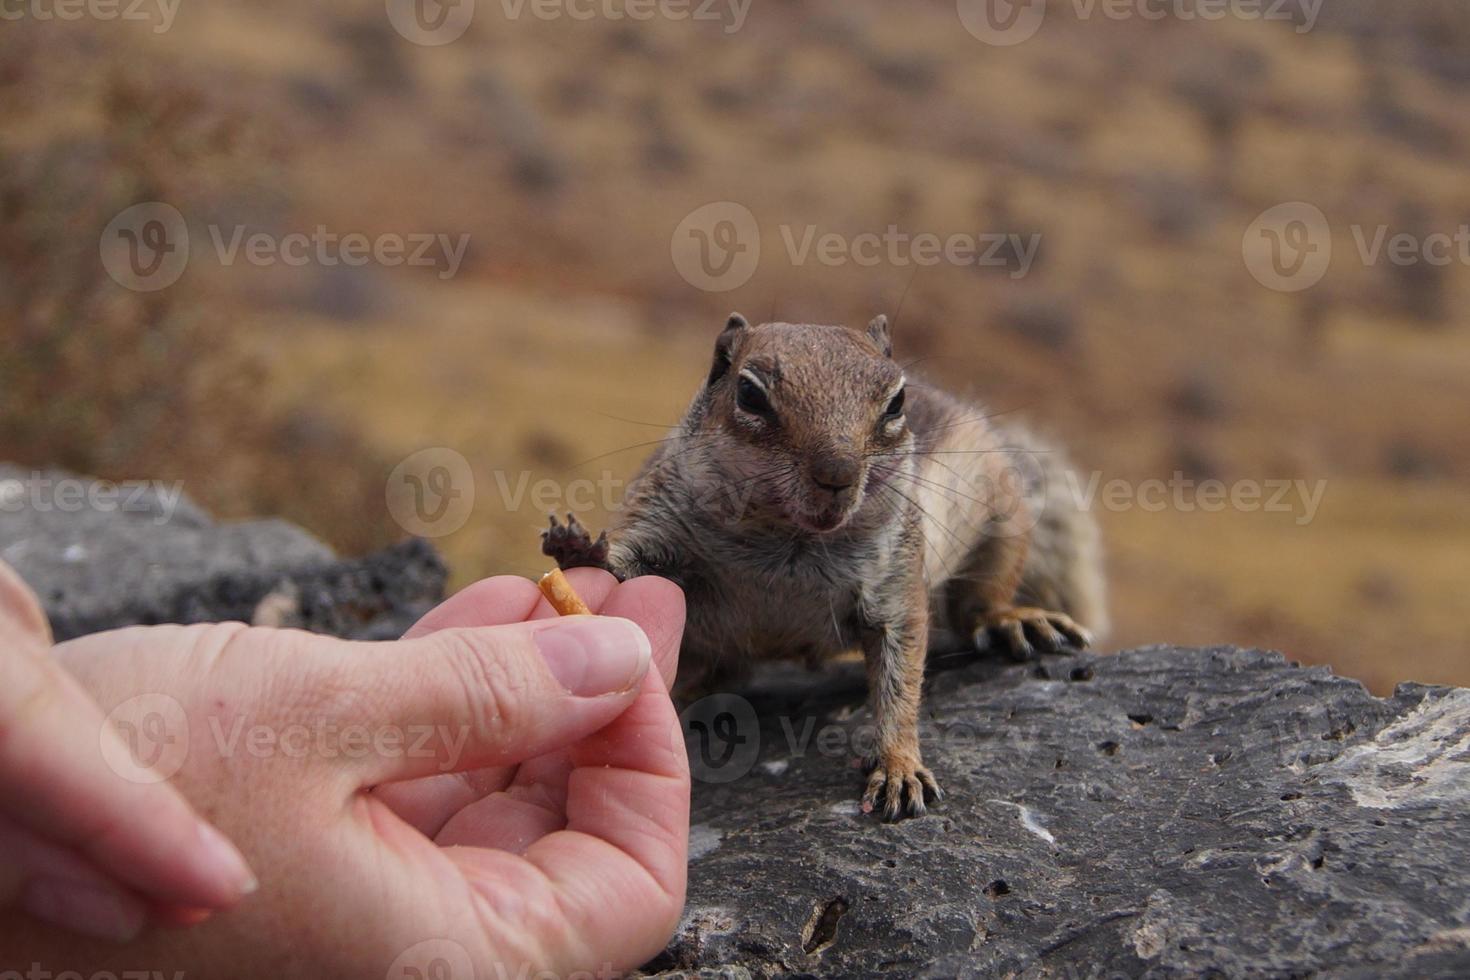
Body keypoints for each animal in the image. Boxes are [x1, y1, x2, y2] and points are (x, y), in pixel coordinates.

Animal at [546, 315, 1105, 822]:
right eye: (749, 395)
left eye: (897, 401)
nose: (837, 472)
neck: (787, 540)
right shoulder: (661, 518)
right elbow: (629, 563)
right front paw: (581, 551)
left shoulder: (895, 581)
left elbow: (901, 677)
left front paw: (899, 765)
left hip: (1003, 505)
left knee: (977, 604)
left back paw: (1014, 620)